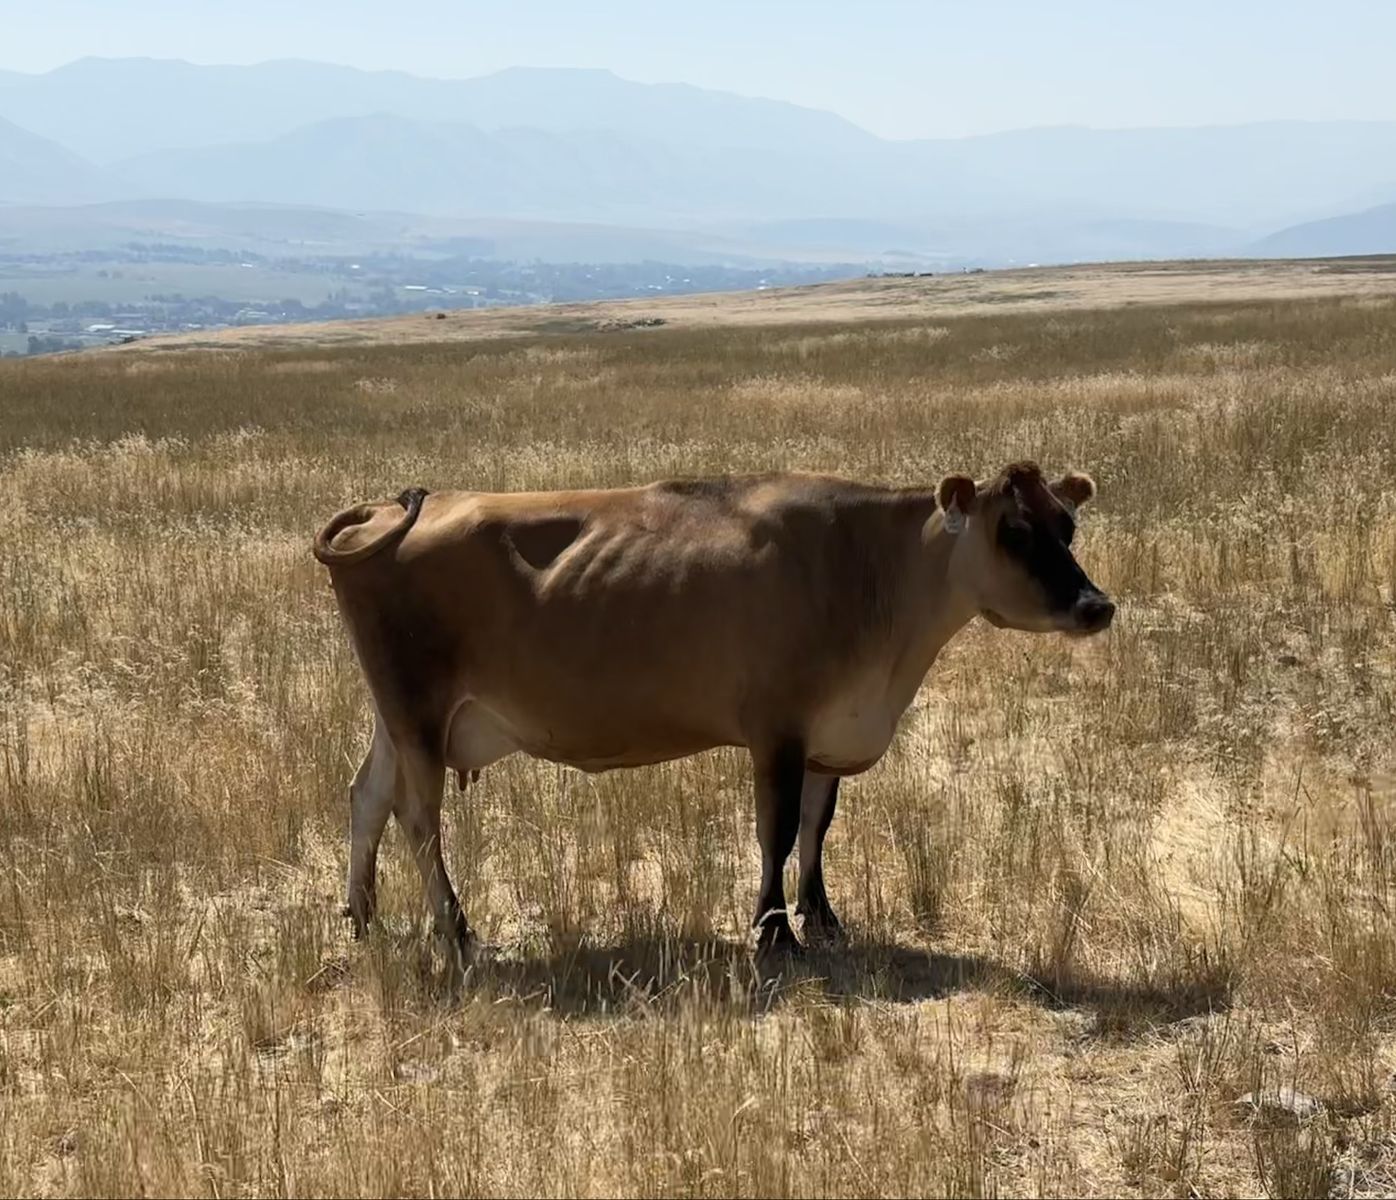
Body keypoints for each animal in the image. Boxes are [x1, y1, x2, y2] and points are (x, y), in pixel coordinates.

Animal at [312, 460, 1113, 962]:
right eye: (1014, 531)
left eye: (1068, 526)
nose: (1096, 605)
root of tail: (390, 509)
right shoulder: (776, 729)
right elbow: (777, 831)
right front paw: (774, 933)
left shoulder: (828, 735)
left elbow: (818, 828)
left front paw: (823, 918)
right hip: (417, 707)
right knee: (419, 818)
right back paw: (456, 931)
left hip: (397, 717)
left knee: (366, 797)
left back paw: (362, 915)